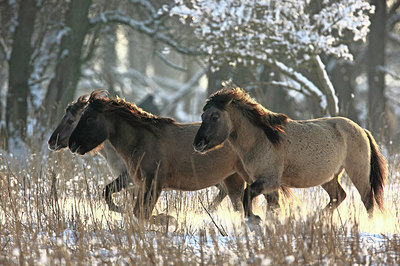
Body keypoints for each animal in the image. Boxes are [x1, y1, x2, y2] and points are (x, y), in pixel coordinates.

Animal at [68, 91, 294, 220]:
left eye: (88, 119)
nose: (72, 144)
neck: (143, 140)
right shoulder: (141, 184)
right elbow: (135, 211)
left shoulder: (154, 184)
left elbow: (142, 214)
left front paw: (168, 219)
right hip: (236, 181)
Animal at [194, 88, 388, 217]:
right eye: (202, 116)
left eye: (215, 117)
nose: (197, 144)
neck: (262, 139)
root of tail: (361, 129)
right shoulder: (268, 185)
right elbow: (273, 208)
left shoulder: (269, 181)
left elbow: (248, 196)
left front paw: (255, 220)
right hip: (329, 177)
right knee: (338, 196)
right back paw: (316, 218)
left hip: (358, 173)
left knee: (368, 201)